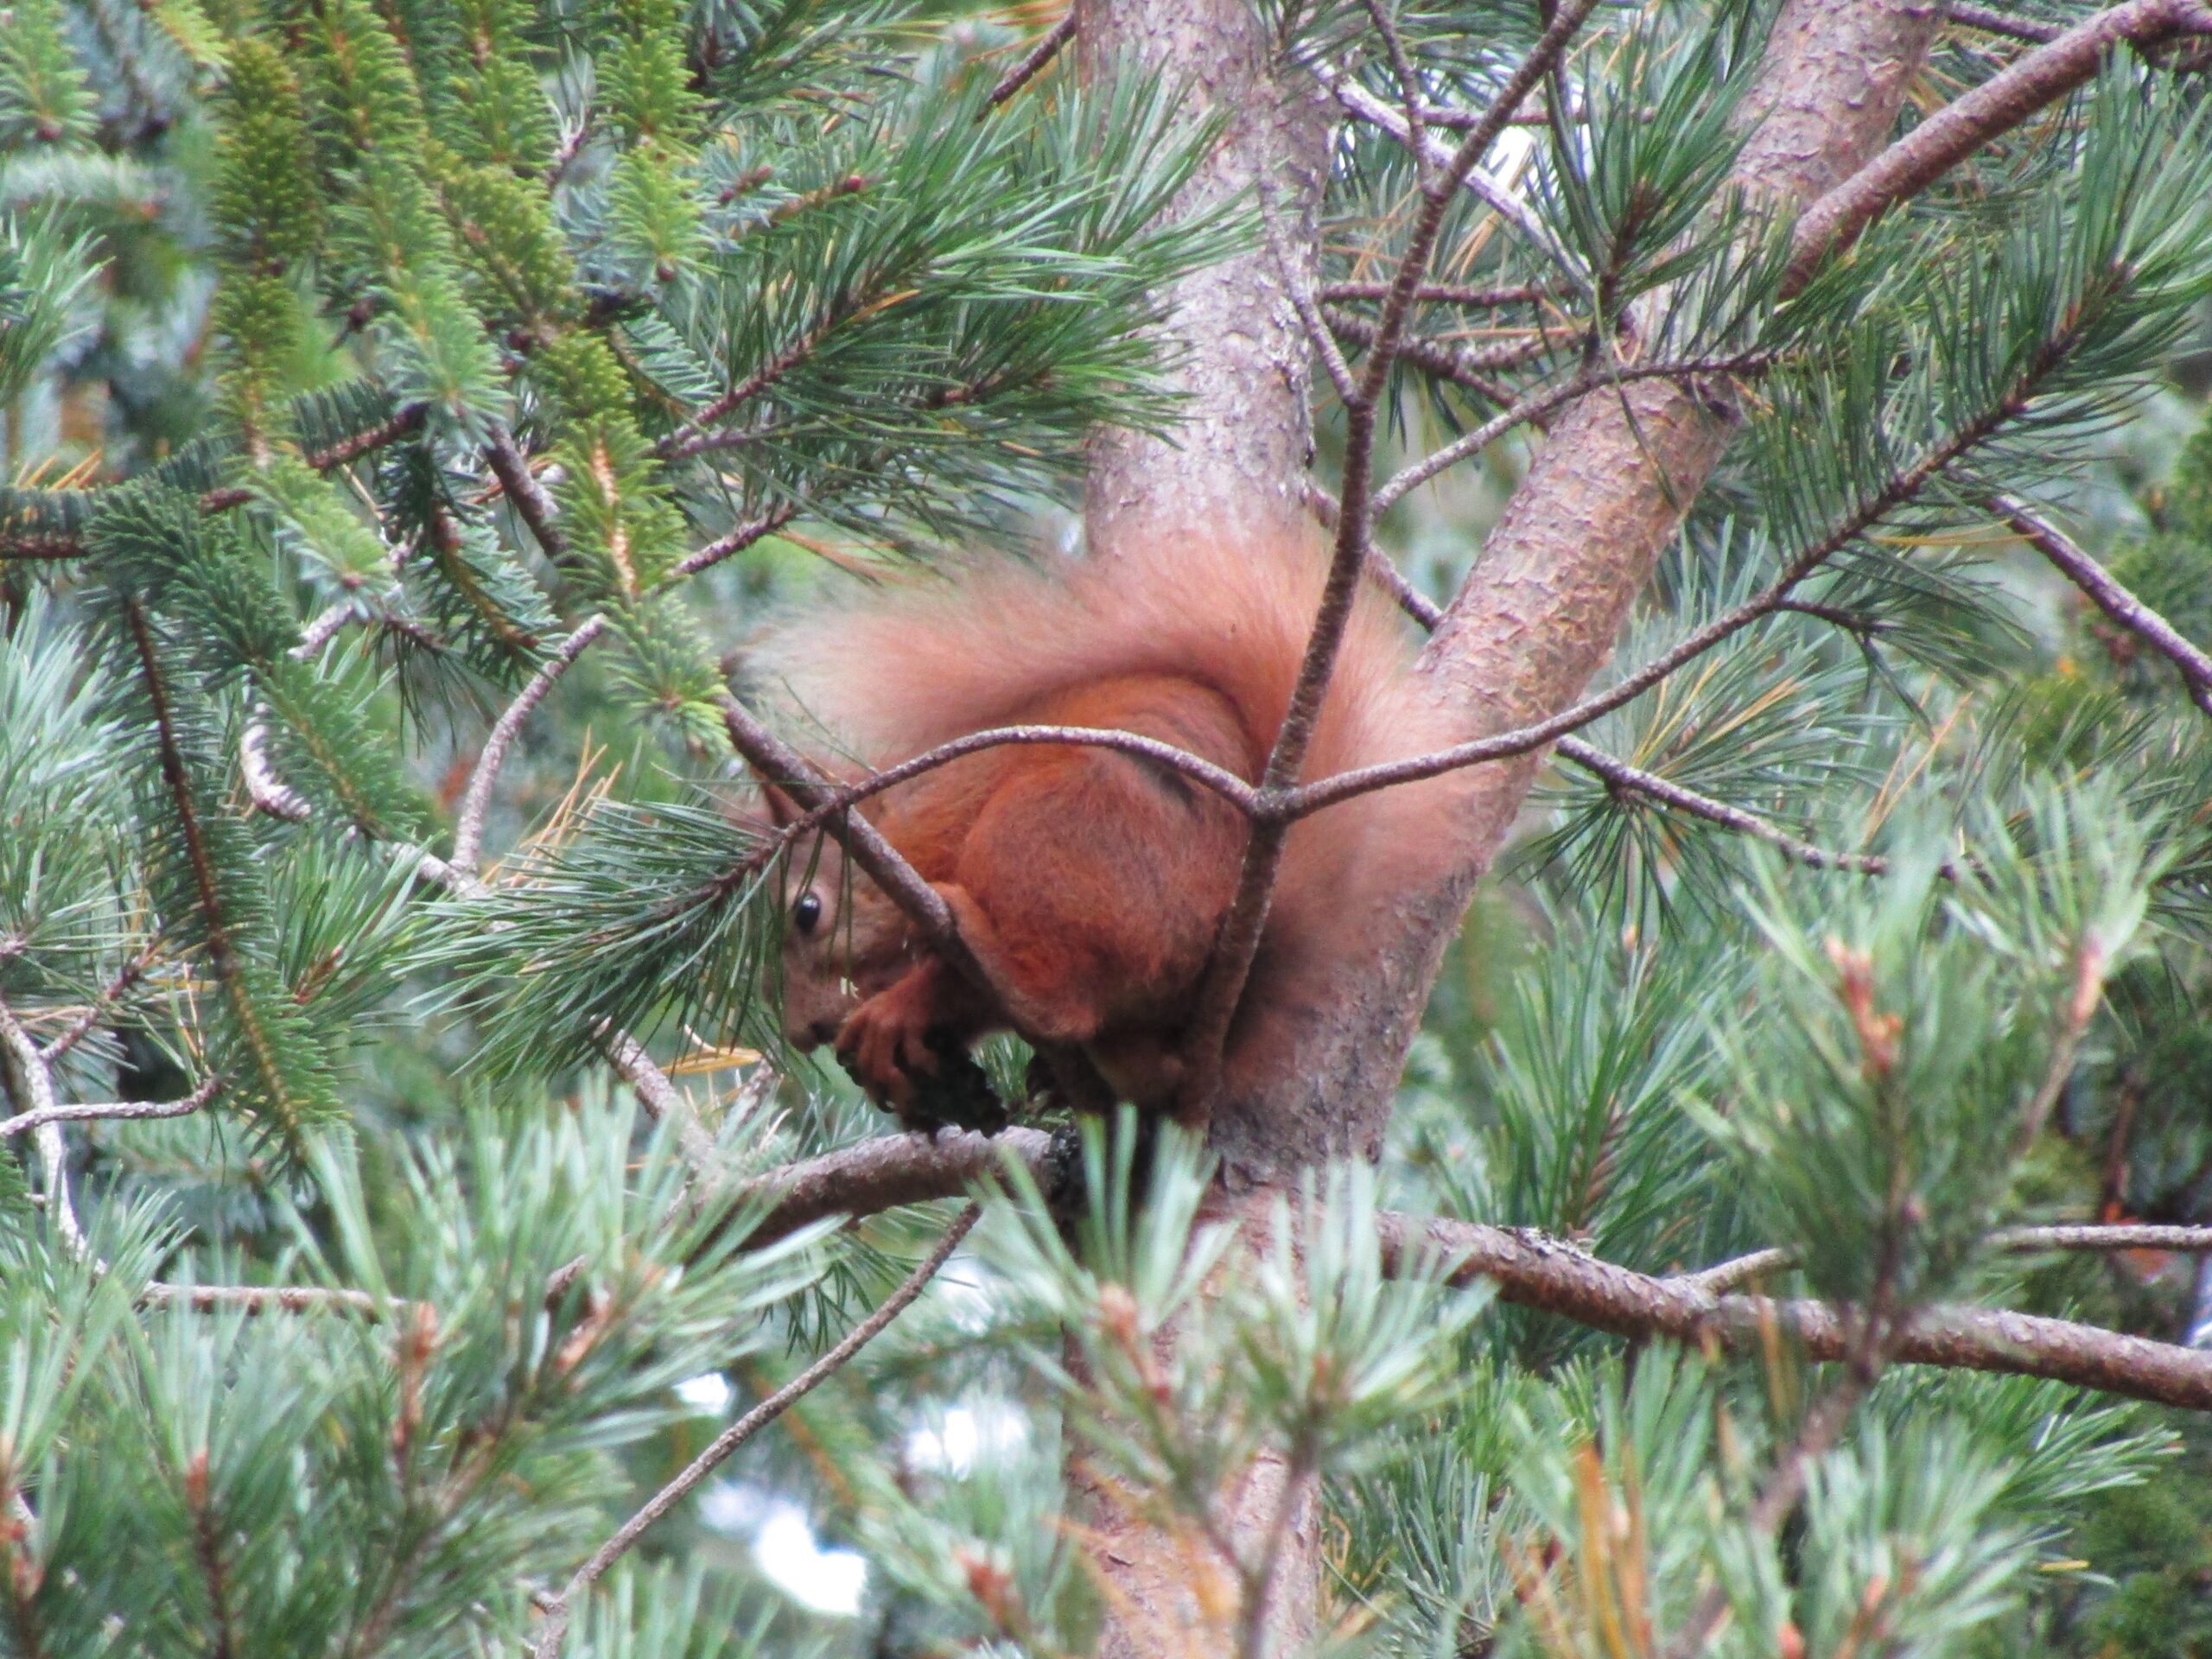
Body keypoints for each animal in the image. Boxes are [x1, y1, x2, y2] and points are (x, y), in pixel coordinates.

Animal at [760, 532, 1468, 1123]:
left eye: (807, 912)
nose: (803, 1032)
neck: (910, 828)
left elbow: (953, 984)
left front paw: (894, 1013)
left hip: (1045, 831)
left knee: (1055, 1000)